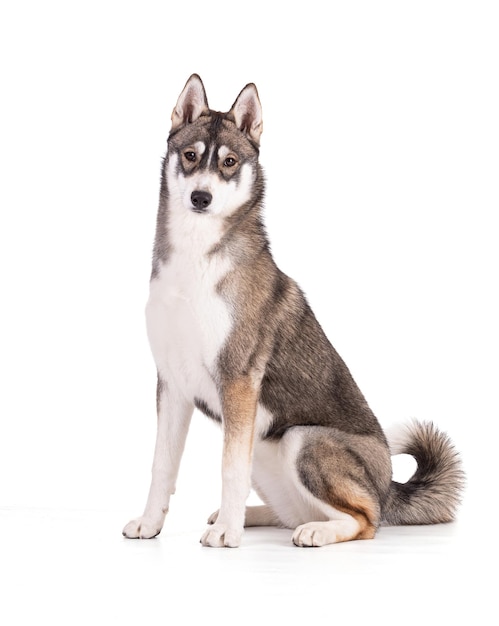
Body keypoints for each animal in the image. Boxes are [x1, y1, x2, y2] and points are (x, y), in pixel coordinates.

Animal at [122, 74, 464, 544]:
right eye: (190, 156)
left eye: (229, 162)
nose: (200, 197)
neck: (196, 257)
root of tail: (388, 486)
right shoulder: (173, 384)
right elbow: (162, 465)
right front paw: (151, 523)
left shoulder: (238, 382)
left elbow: (229, 469)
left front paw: (227, 535)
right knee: (293, 510)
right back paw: (252, 516)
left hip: (302, 439)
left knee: (366, 520)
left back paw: (311, 531)